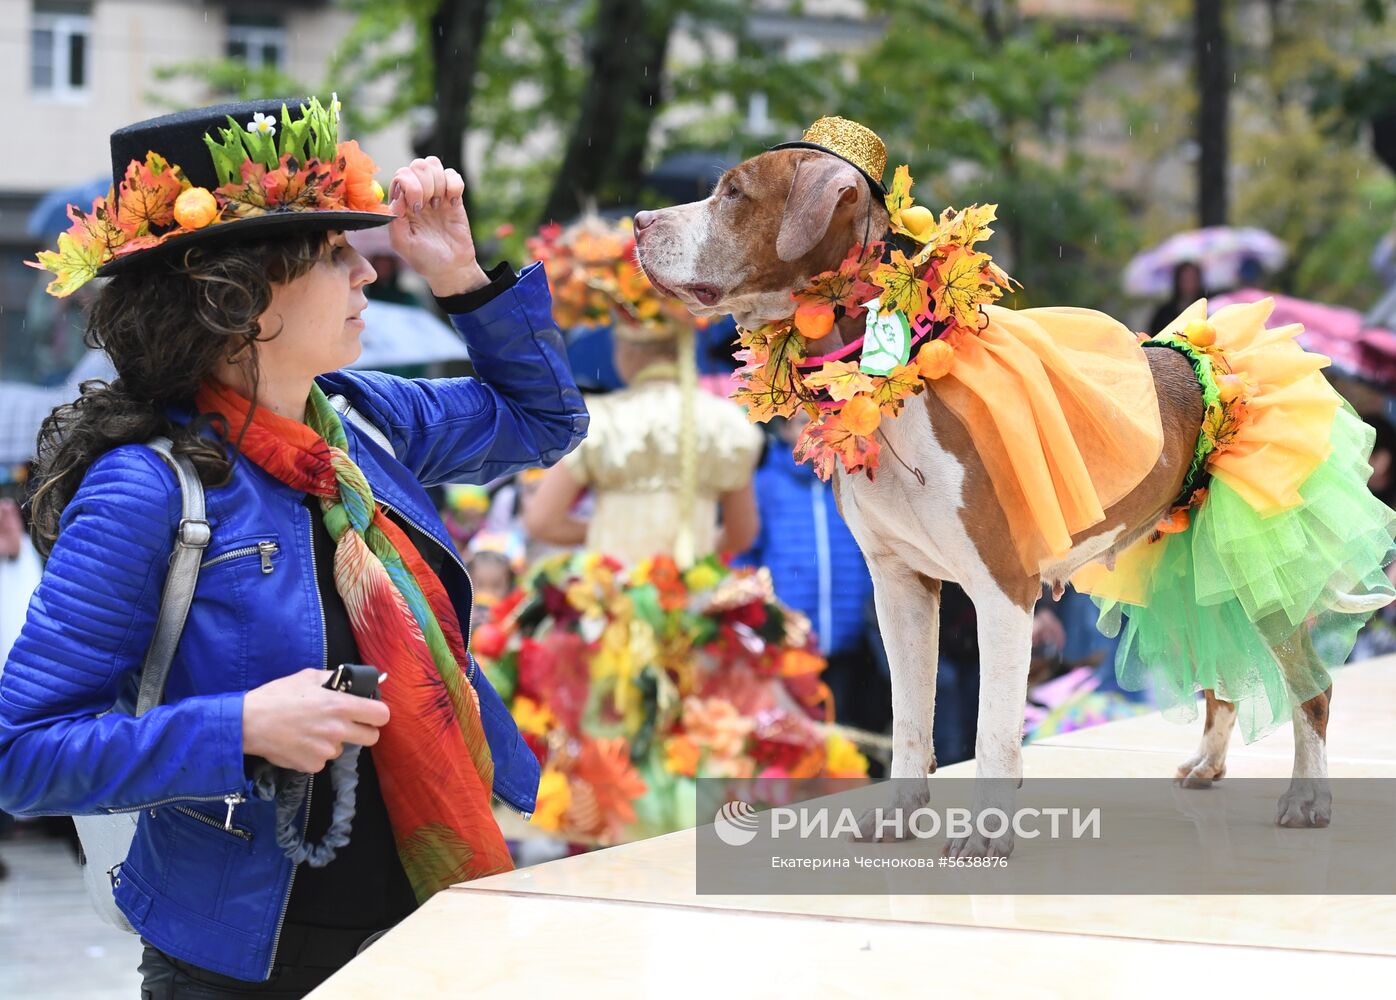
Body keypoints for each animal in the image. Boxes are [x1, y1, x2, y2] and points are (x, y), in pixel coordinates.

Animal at [639, 148, 1345, 849]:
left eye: (734, 194)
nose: (640, 221)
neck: (887, 376)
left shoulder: (1003, 590)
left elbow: (993, 728)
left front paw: (986, 831)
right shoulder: (899, 587)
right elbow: (909, 717)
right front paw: (900, 814)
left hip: (1258, 572)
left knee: (1311, 687)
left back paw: (1308, 797)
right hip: (1200, 569)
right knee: (1223, 673)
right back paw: (1208, 763)